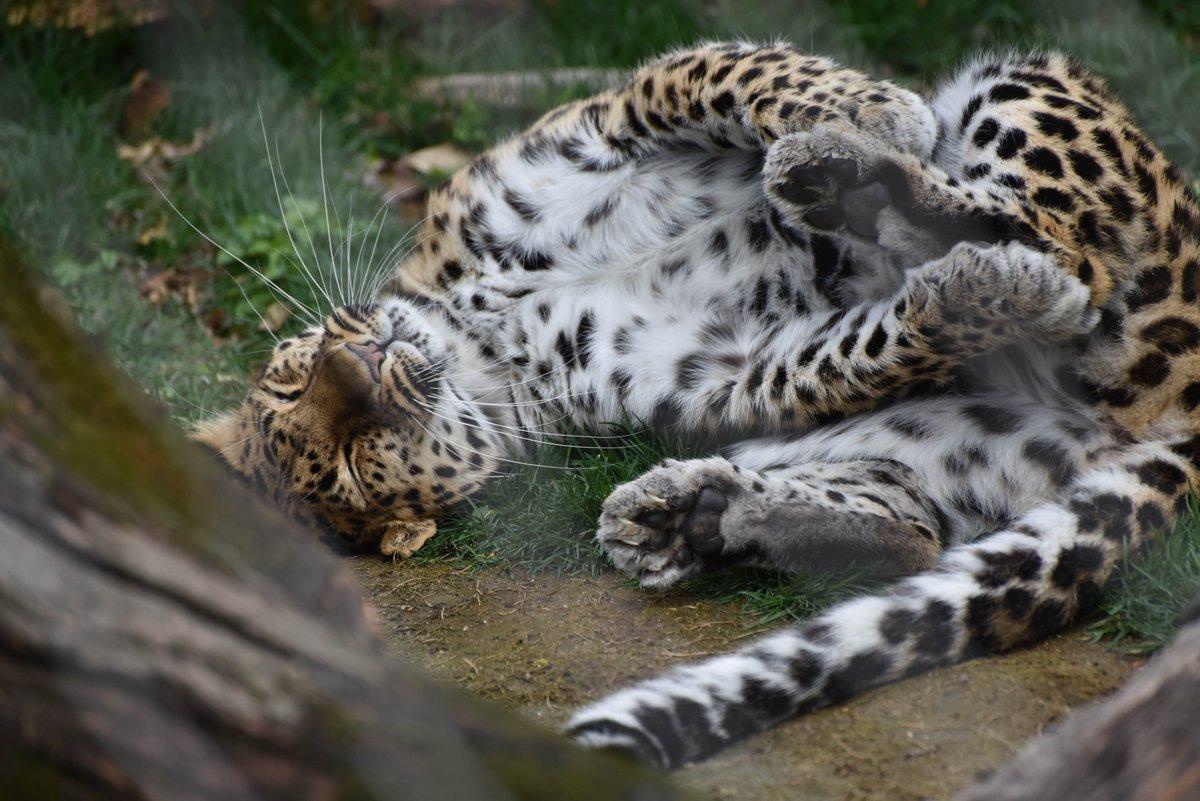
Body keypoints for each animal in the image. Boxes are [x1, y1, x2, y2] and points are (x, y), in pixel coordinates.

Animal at [192, 41, 1200, 769]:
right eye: (350, 463)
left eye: (293, 377)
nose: (358, 360)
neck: (484, 339)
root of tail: (1173, 416)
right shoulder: (721, 368)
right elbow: (862, 347)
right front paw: (973, 287)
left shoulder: (595, 126)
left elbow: (711, 72)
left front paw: (875, 108)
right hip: (960, 444)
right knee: (935, 489)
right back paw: (687, 514)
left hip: (1039, 91)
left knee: (1053, 224)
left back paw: (841, 167)